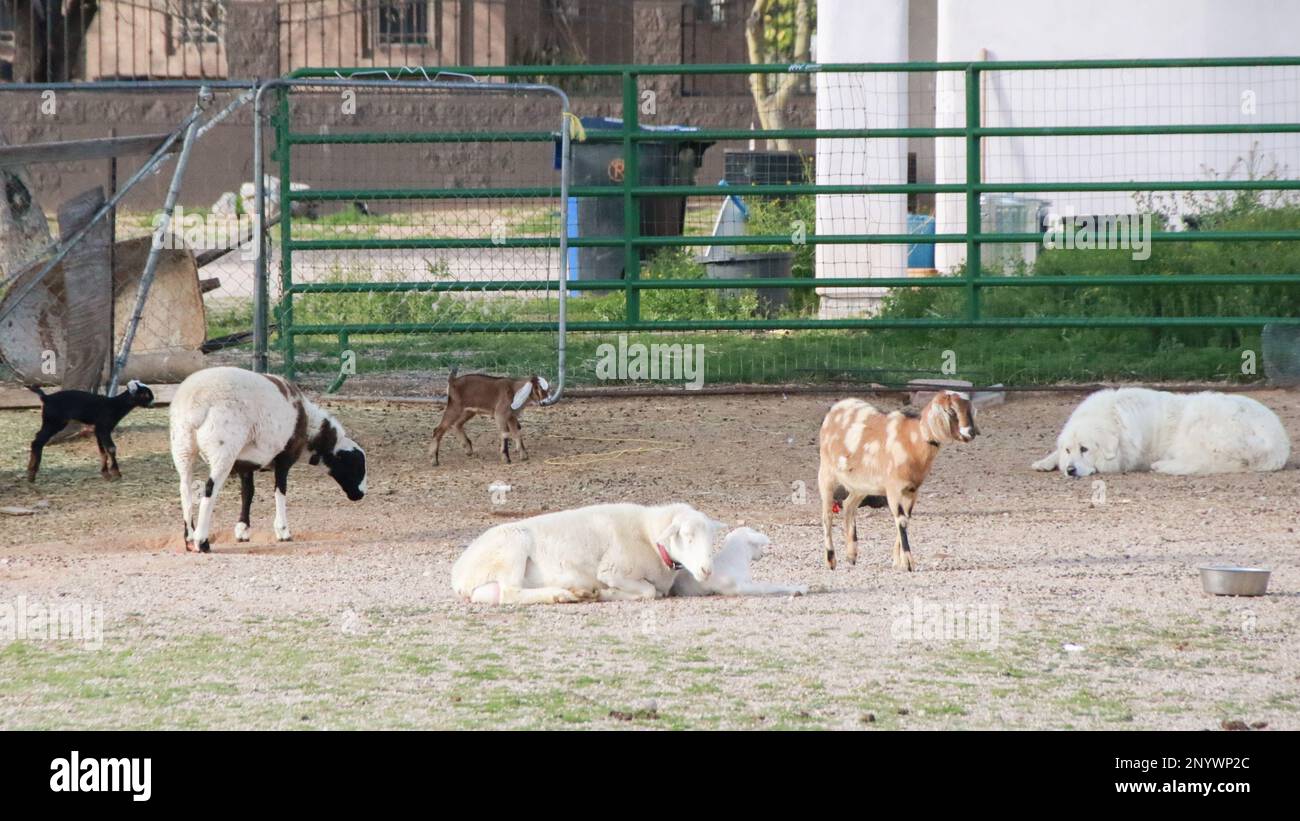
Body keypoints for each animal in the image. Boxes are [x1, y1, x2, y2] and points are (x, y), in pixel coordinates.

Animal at [169, 368, 366, 555]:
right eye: (356, 466)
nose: (360, 494)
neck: (310, 429)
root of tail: (195, 403)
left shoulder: (244, 463)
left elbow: (248, 493)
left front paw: (243, 531)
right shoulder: (284, 458)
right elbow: (280, 491)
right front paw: (283, 531)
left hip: (182, 448)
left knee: (185, 489)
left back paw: (189, 540)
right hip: (223, 450)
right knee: (209, 490)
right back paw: (202, 542)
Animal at [454, 501, 722, 602]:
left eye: (712, 538)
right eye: (687, 537)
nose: (707, 570)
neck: (648, 534)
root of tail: (459, 576)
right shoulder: (613, 570)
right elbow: (647, 592)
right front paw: (606, 593)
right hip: (512, 548)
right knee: (511, 593)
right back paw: (562, 594)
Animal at [816, 392, 977, 571]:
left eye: (968, 409)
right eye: (951, 411)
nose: (971, 432)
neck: (913, 442)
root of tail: (835, 409)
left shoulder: (911, 490)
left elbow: (906, 519)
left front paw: (898, 561)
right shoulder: (893, 488)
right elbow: (901, 521)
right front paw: (908, 562)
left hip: (861, 484)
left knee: (849, 505)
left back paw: (852, 555)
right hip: (826, 473)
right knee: (827, 515)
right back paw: (831, 559)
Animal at [1024, 387, 1289, 478]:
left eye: (1085, 449)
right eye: (1068, 450)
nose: (1069, 470)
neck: (1113, 418)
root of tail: (1279, 445)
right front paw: (1045, 462)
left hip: (1200, 421)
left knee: (1203, 461)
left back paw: (1164, 465)